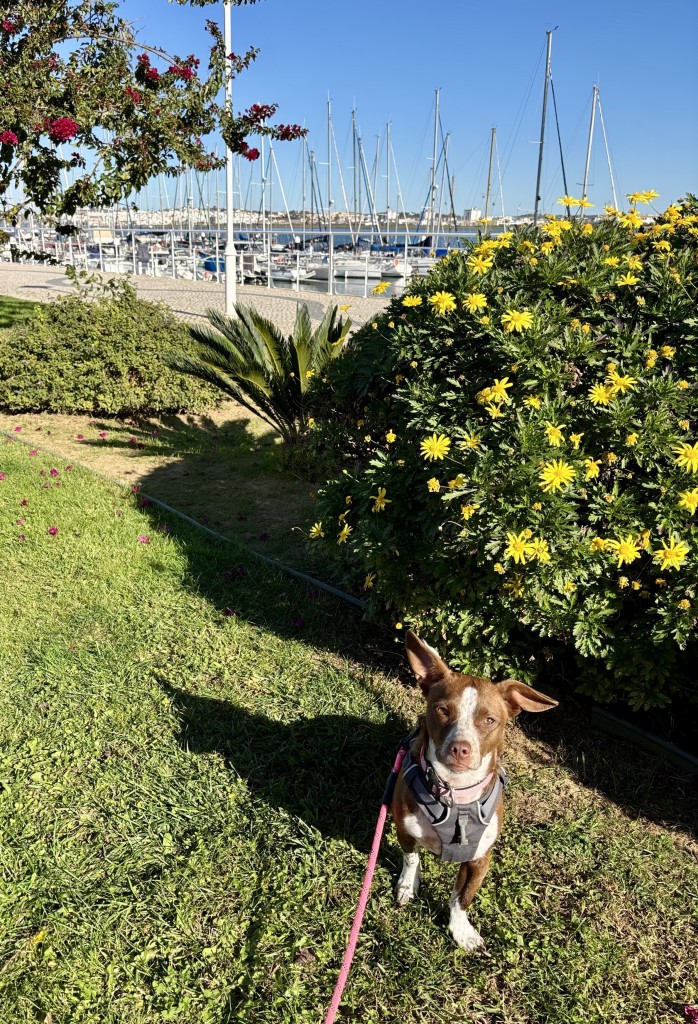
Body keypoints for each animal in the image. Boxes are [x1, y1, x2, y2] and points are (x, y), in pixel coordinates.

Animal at [388, 630, 556, 950]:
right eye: (442, 710)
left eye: (489, 720)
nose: (460, 748)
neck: (456, 794)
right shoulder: (404, 830)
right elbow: (411, 858)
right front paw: (408, 883)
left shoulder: (479, 859)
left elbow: (462, 897)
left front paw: (460, 930)